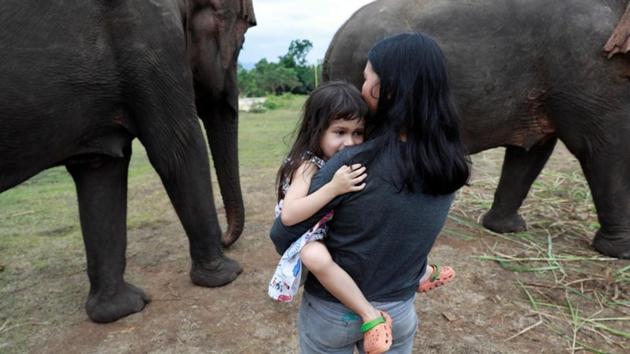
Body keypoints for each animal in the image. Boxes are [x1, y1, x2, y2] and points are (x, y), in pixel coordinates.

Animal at [1, 0, 256, 324]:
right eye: (242, 44)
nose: (226, 237)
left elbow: (101, 169)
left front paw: (121, 310)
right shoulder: (149, 38)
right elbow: (179, 147)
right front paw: (227, 275)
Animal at [326, 0, 630, 260]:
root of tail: (336, 38)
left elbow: (533, 150)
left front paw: (506, 229)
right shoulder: (588, 58)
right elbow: (602, 145)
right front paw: (622, 252)